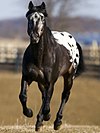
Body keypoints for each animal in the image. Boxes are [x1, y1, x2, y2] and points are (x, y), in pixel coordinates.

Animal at [19, 1, 84, 131]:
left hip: (69, 77)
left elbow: (47, 104)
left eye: (42, 18)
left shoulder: (51, 82)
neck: (40, 57)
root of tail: (73, 40)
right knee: (44, 97)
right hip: (41, 82)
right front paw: (29, 113)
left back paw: (57, 122)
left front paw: (45, 117)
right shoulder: (27, 77)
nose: (34, 37)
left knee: (64, 95)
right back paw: (41, 120)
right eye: (29, 18)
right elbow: (23, 96)